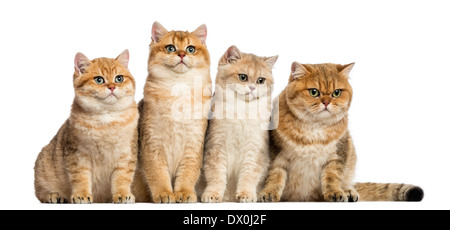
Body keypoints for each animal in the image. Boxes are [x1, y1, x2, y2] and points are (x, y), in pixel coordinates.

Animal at [34, 49, 137, 203]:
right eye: (99, 80)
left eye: (119, 78)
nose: (112, 87)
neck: (107, 118)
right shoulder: (78, 155)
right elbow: (80, 177)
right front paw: (81, 195)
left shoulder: (126, 154)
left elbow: (122, 177)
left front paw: (122, 194)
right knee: (40, 193)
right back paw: (55, 196)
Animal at [132, 21, 213, 203]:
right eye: (170, 48)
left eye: (190, 48)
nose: (182, 54)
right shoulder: (152, 142)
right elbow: (157, 173)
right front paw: (164, 193)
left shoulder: (194, 143)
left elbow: (188, 172)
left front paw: (183, 192)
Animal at [200, 45, 278, 202]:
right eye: (243, 77)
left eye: (261, 80)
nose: (252, 88)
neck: (242, 110)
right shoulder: (216, 147)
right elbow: (216, 175)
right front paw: (213, 194)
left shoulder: (255, 148)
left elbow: (249, 175)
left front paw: (246, 194)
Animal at [258, 61, 424, 201]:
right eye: (314, 92)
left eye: (336, 93)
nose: (326, 102)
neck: (315, 127)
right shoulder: (278, 155)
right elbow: (275, 176)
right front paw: (269, 193)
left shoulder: (337, 154)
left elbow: (332, 176)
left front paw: (336, 192)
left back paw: (348, 191)